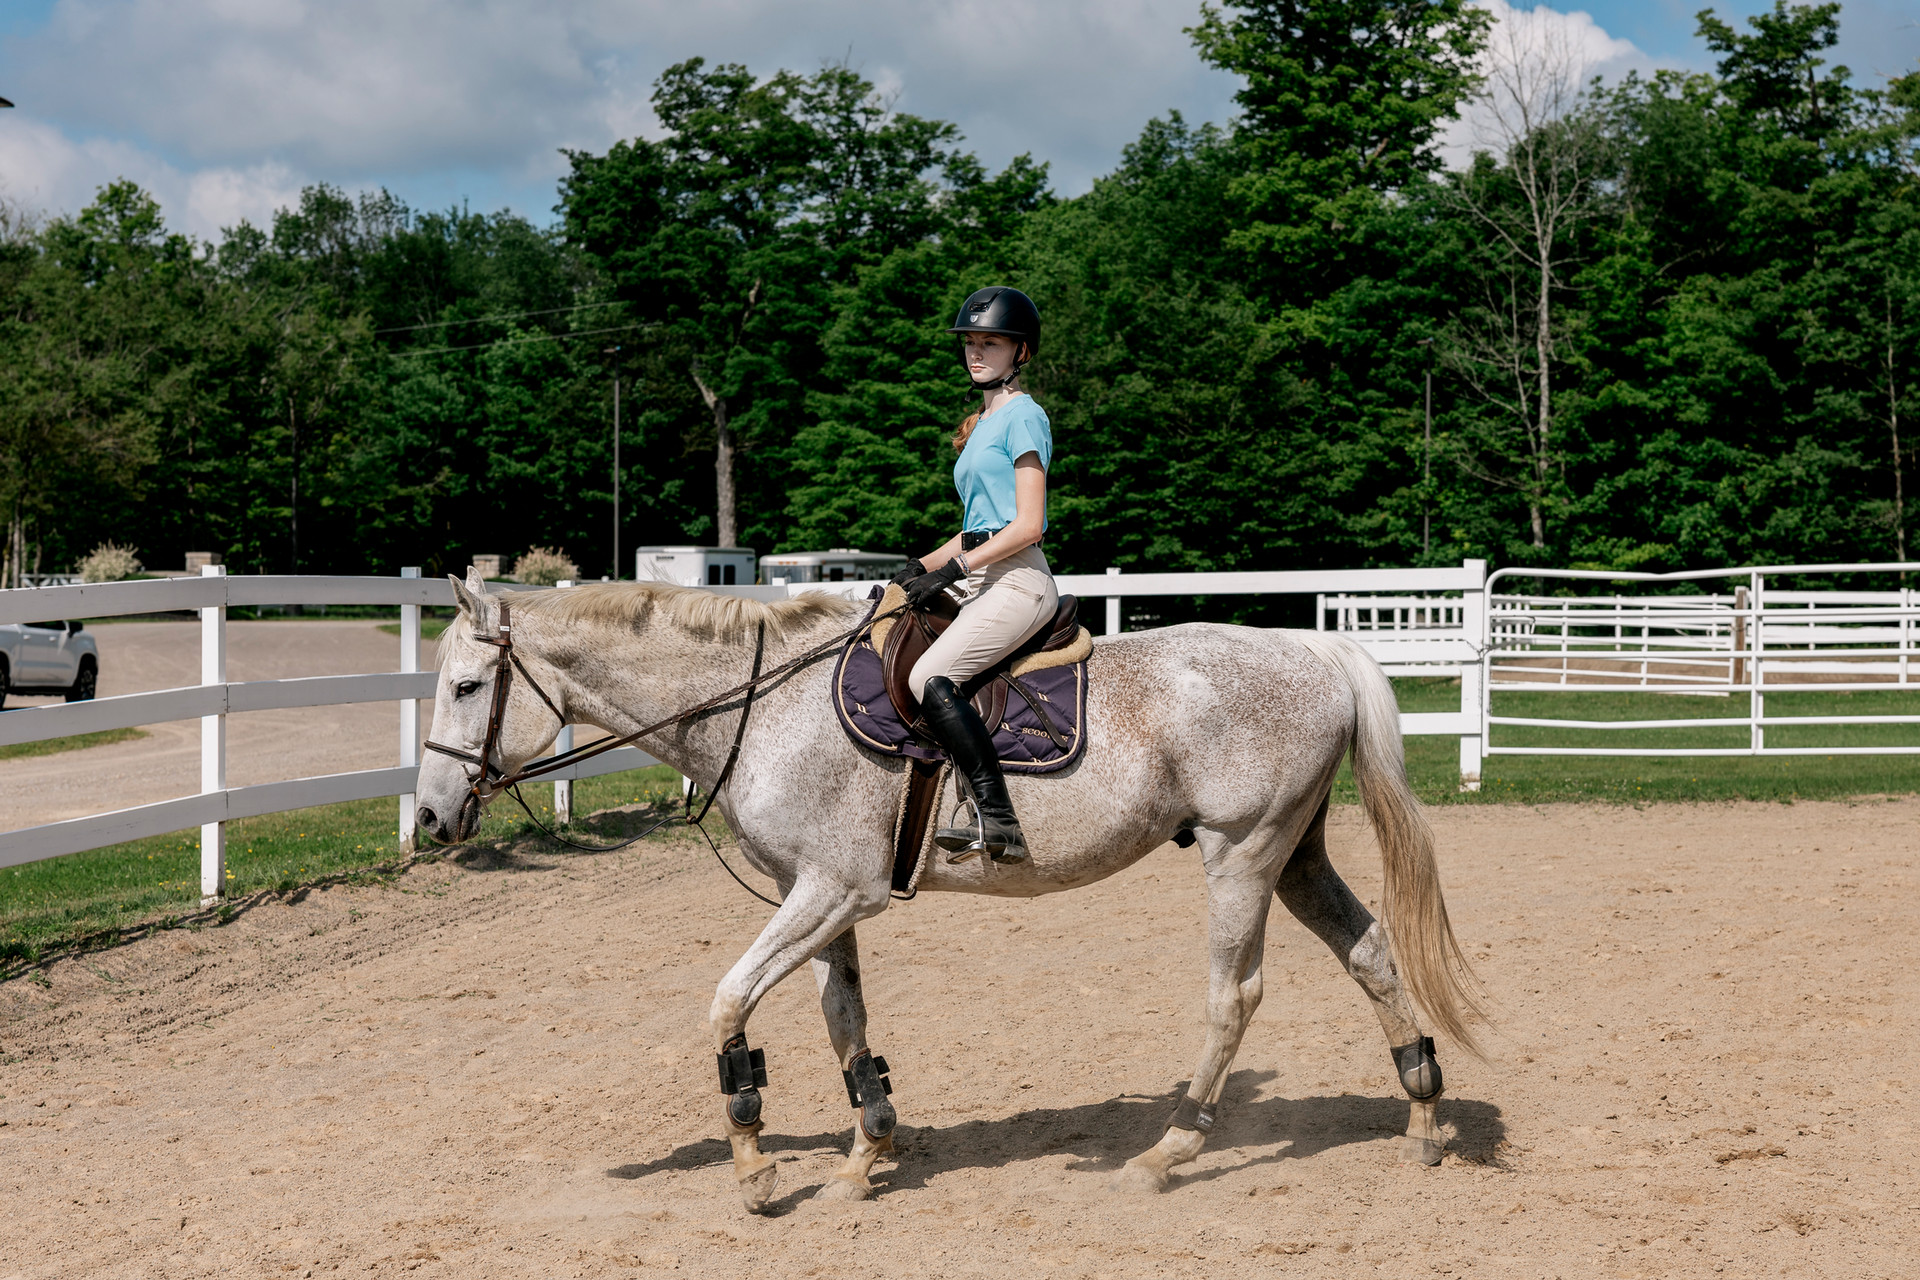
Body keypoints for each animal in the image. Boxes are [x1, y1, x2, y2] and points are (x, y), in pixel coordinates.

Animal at [413, 569, 1485, 1212]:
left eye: (466, 687)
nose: (427, 821)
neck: (766, 706)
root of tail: (1316, 649)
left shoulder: (830, 893)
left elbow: (727, 1003)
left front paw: (756, 1163)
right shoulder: (819, 896)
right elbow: (844, 1022)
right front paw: (868, 1152)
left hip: (1243, 855)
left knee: (1236, 996)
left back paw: (1170, 1149)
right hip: (1296, 854)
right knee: (1371, 953)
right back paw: (1423, 1119)